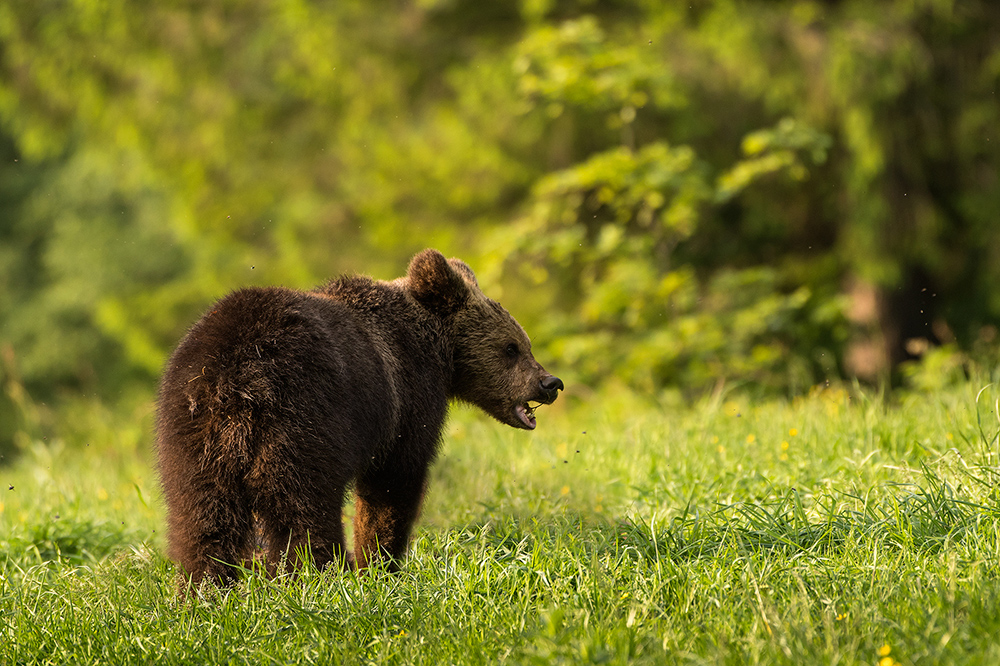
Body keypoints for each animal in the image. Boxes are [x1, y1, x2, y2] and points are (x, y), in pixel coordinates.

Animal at [154, 249, 564, 588]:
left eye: (523, 343)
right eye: (511, 347)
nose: (550, 383)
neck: (440, 351)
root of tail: (237, 381)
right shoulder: (407, 400)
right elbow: (394, 483)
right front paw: (379, 564)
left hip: (190, 437)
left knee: (202, 518)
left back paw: (203, 590)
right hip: (302, 423)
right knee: (304, 510)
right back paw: (323, 574)